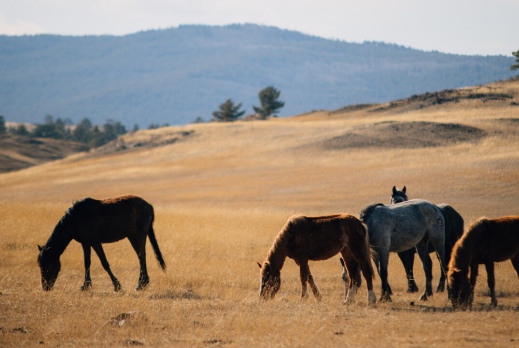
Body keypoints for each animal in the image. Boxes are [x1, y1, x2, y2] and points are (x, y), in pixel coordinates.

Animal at [37, 194, 167, 292]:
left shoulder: (95, 242)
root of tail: (149, 206)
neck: (75, 219)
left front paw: (117, 286)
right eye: (41, 265)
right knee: (140, 257)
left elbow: (104, 262)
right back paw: (143, 283)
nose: (45, 288)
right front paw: (85, 285)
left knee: (142, 256)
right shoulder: (85, 243)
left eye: (47, 265)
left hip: (140, 234)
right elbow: (87, 263)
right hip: (132, 236)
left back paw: (140, 284)